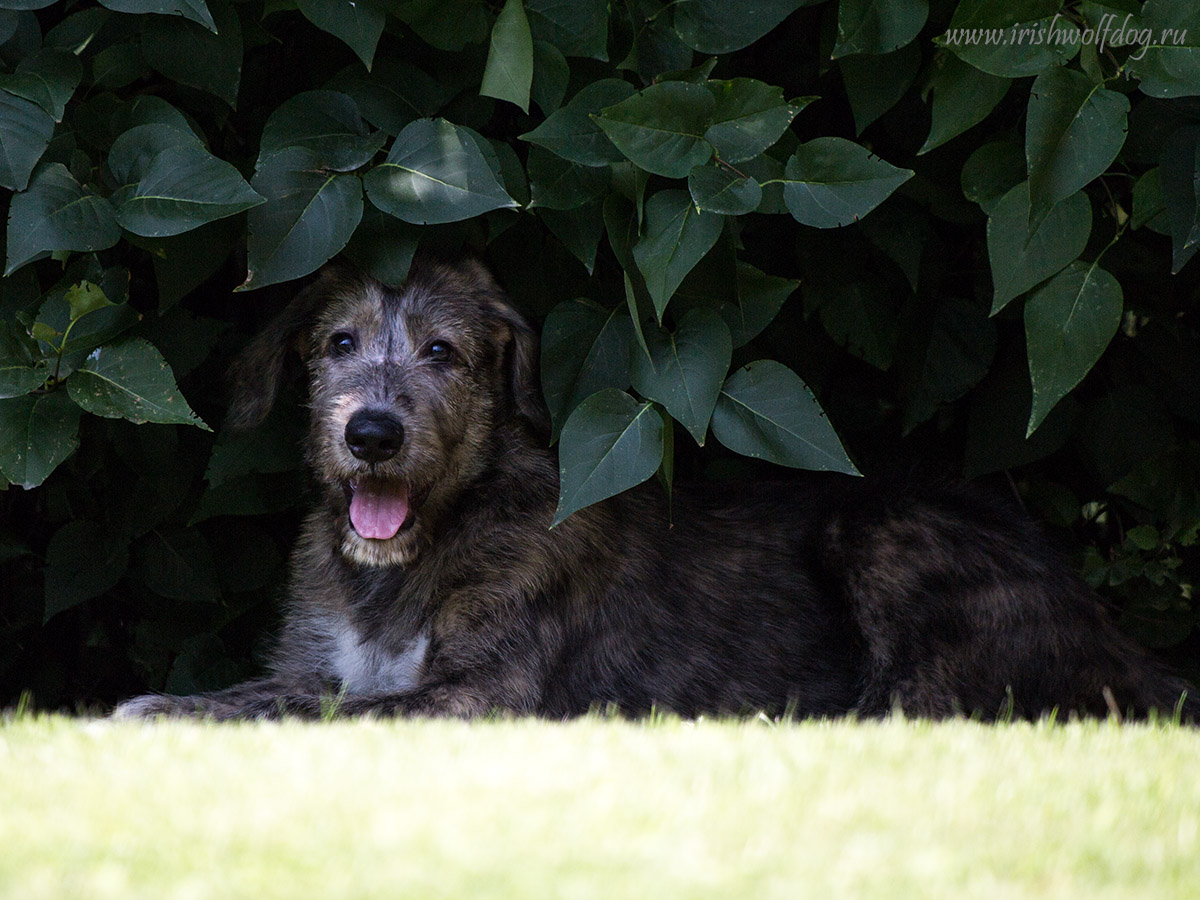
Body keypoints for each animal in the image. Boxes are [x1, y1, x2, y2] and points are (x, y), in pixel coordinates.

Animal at [117, 256, 1195, 724]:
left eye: (444, 353)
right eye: (338, 344)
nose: (370, 434)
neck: (407, 566)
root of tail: (1120, 640)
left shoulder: (488, 694)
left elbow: (336, 714)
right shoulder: (316, 662)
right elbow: (273, 693)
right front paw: (163, 702)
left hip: (887, 527)